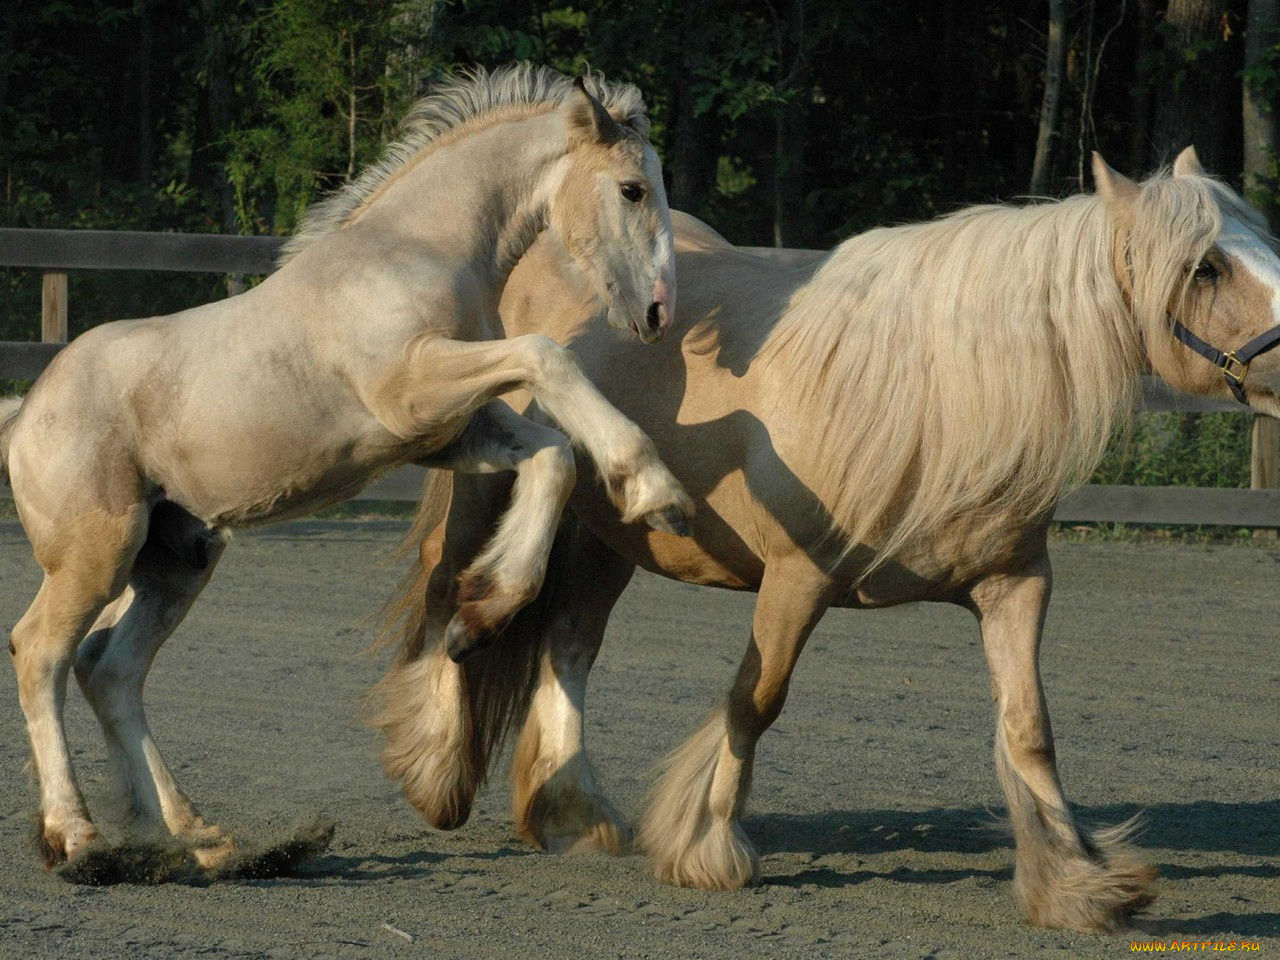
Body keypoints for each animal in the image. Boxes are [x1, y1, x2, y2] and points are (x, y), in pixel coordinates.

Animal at [0, 60, 696, 870]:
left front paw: (478, 619)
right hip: (96, 555)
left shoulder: (446, 429)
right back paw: (78, 836)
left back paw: (193, 835)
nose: (658, 312)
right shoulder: (413, 388)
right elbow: (546, 355)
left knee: (109, 669)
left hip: (177, 559)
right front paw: (655, 488)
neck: (415, 249)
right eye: (633, 189)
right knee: (40, 653)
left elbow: (552, 455)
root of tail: (25, 414)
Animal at [373, 154, 1280, 936]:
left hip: (610, 536)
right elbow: (755, 702)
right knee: (456, 600)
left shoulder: (1015, 584)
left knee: (568, 644)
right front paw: (706, 846)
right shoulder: (797, 579)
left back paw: (573, 813)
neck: (935, 395)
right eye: (1207, 267)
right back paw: (436, 771)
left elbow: (1028, 727)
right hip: (493, 489)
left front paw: (1074, 884)